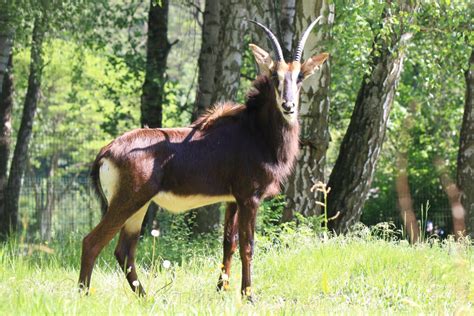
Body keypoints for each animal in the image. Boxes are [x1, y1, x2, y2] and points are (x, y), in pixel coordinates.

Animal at [79, 18, 328, 298]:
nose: (288, 106)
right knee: (92, 242)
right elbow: (248, 246)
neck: (256, 131)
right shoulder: (249, 198)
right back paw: (84, 295)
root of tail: (107, 150)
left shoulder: (232, 200)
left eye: (300, 77)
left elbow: (229, 243)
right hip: (127, 201)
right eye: (275, 76)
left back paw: (146, 298)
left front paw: (221, 290)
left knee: (124, 251)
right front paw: (248, 295)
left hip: (139, 206)